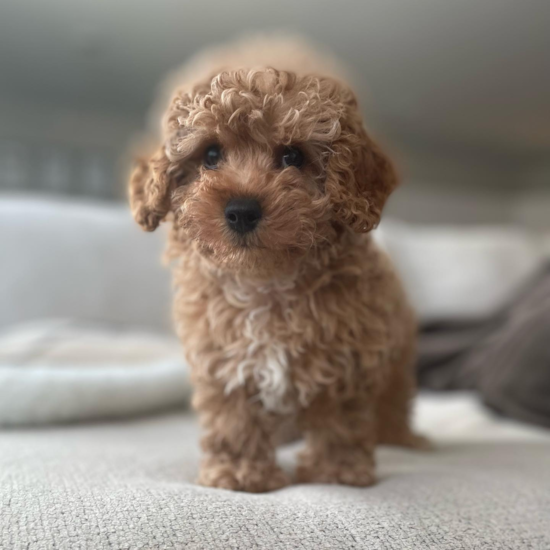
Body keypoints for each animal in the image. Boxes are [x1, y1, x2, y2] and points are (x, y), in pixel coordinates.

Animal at [130, 36, 426, 494]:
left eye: (292, 156)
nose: (241, 210)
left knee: (393, 402)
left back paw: (402, 439)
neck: (267, 283)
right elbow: (233, 417)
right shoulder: (222, 359)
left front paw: (336, 470)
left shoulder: (349, 354)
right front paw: (239, 472)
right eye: (210, 154)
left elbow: (341, 416)